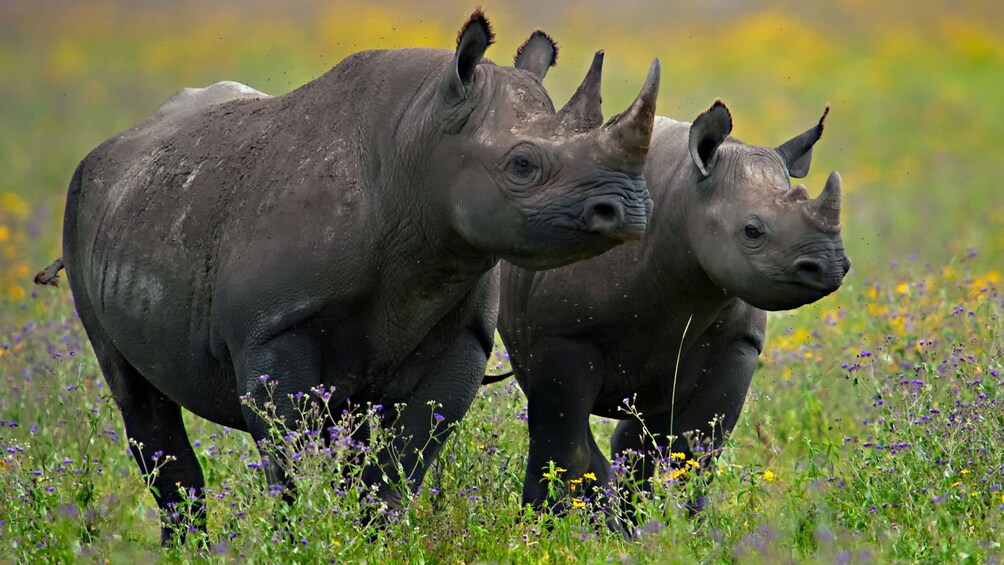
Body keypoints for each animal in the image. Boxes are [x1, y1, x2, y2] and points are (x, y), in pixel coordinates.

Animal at [33, 13, 658, 541]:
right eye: (522, 165)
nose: (628, 209)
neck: (420, 145)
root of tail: (118, 144)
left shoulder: (465, 333)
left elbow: (401, 462)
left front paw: (367, 539)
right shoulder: (273, 327)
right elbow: (290, 457)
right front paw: (300, 541)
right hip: (87, 206)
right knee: (136, 394)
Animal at [497, 99, 851, 525]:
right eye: (751, 231)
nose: (830, 266)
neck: (685, 198)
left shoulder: (739, 344)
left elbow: (697, 451)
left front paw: (682, 527)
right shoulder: (564, 335)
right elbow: (564, 443)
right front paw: (547, 526)